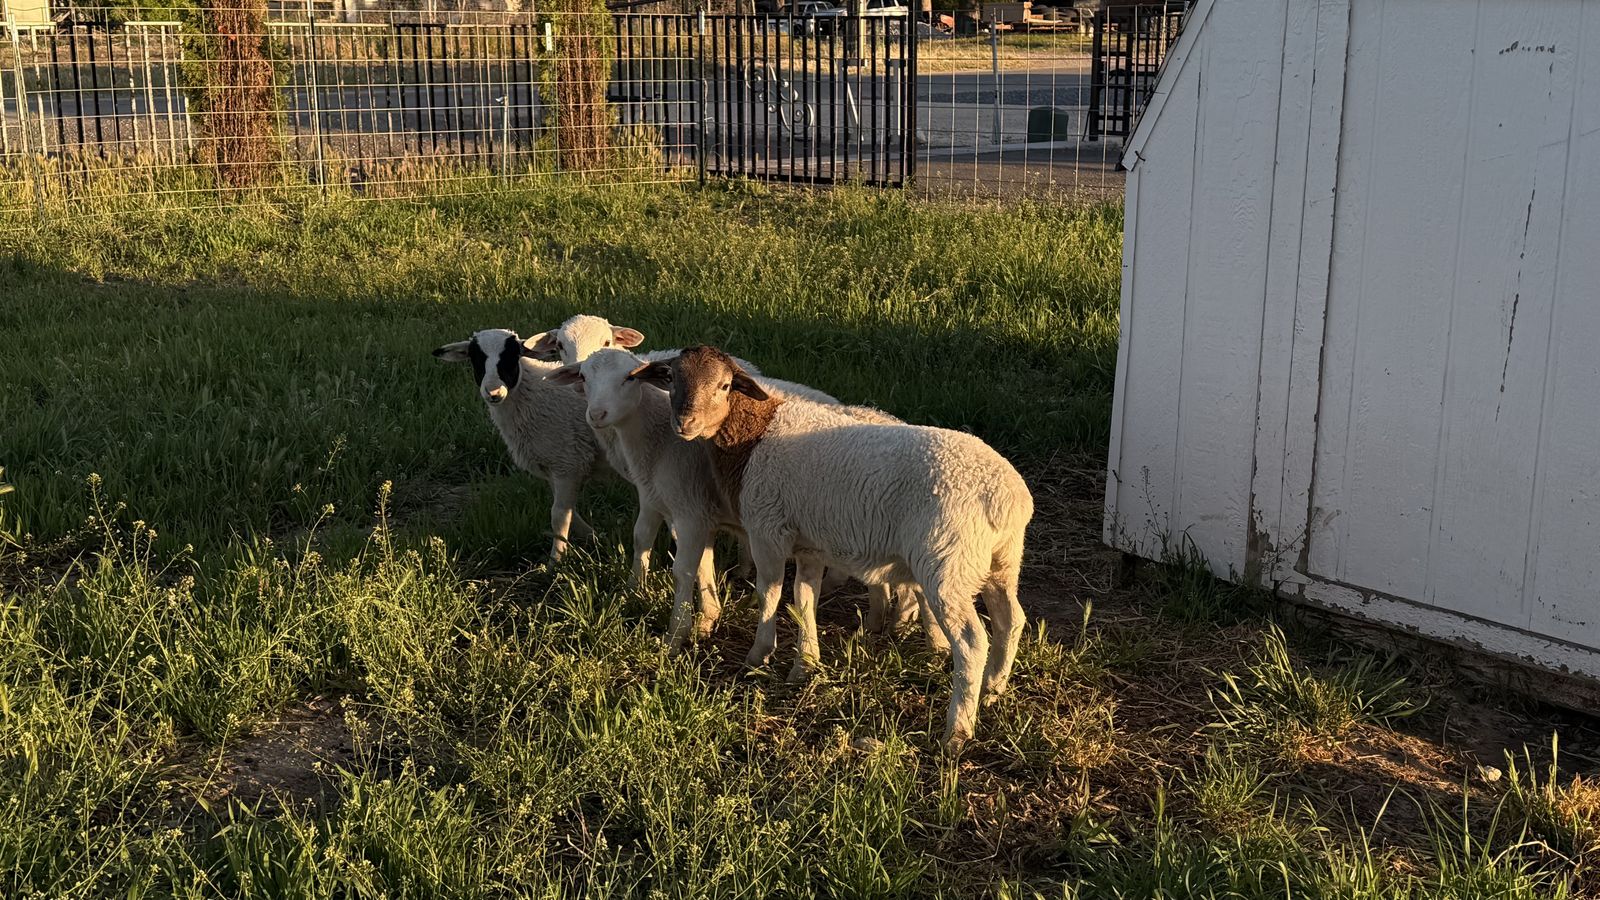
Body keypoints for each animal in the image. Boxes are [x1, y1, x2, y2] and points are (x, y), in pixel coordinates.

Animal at [432, 328, 612, 562]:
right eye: (475, 357)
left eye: (513, 355)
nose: (494, 392)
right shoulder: (554, 466)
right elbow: (568, 511)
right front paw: (595, 538)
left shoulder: (568, 462)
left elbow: (559, 515)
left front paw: (556, 561)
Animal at [635, 346, 1032, 747]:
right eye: (672, 378)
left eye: (725, 385)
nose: (684, 422)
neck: (754, 435)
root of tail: (1006, 498)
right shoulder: (809, 545)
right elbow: (803, 598)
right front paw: (805, 663)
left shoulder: (767, 529)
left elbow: (769, 593)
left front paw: (759, 654)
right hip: (1000, 561)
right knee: (1011, 620)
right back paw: (994, 689)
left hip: (947, 563)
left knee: (971, 642)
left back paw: (958, 730)